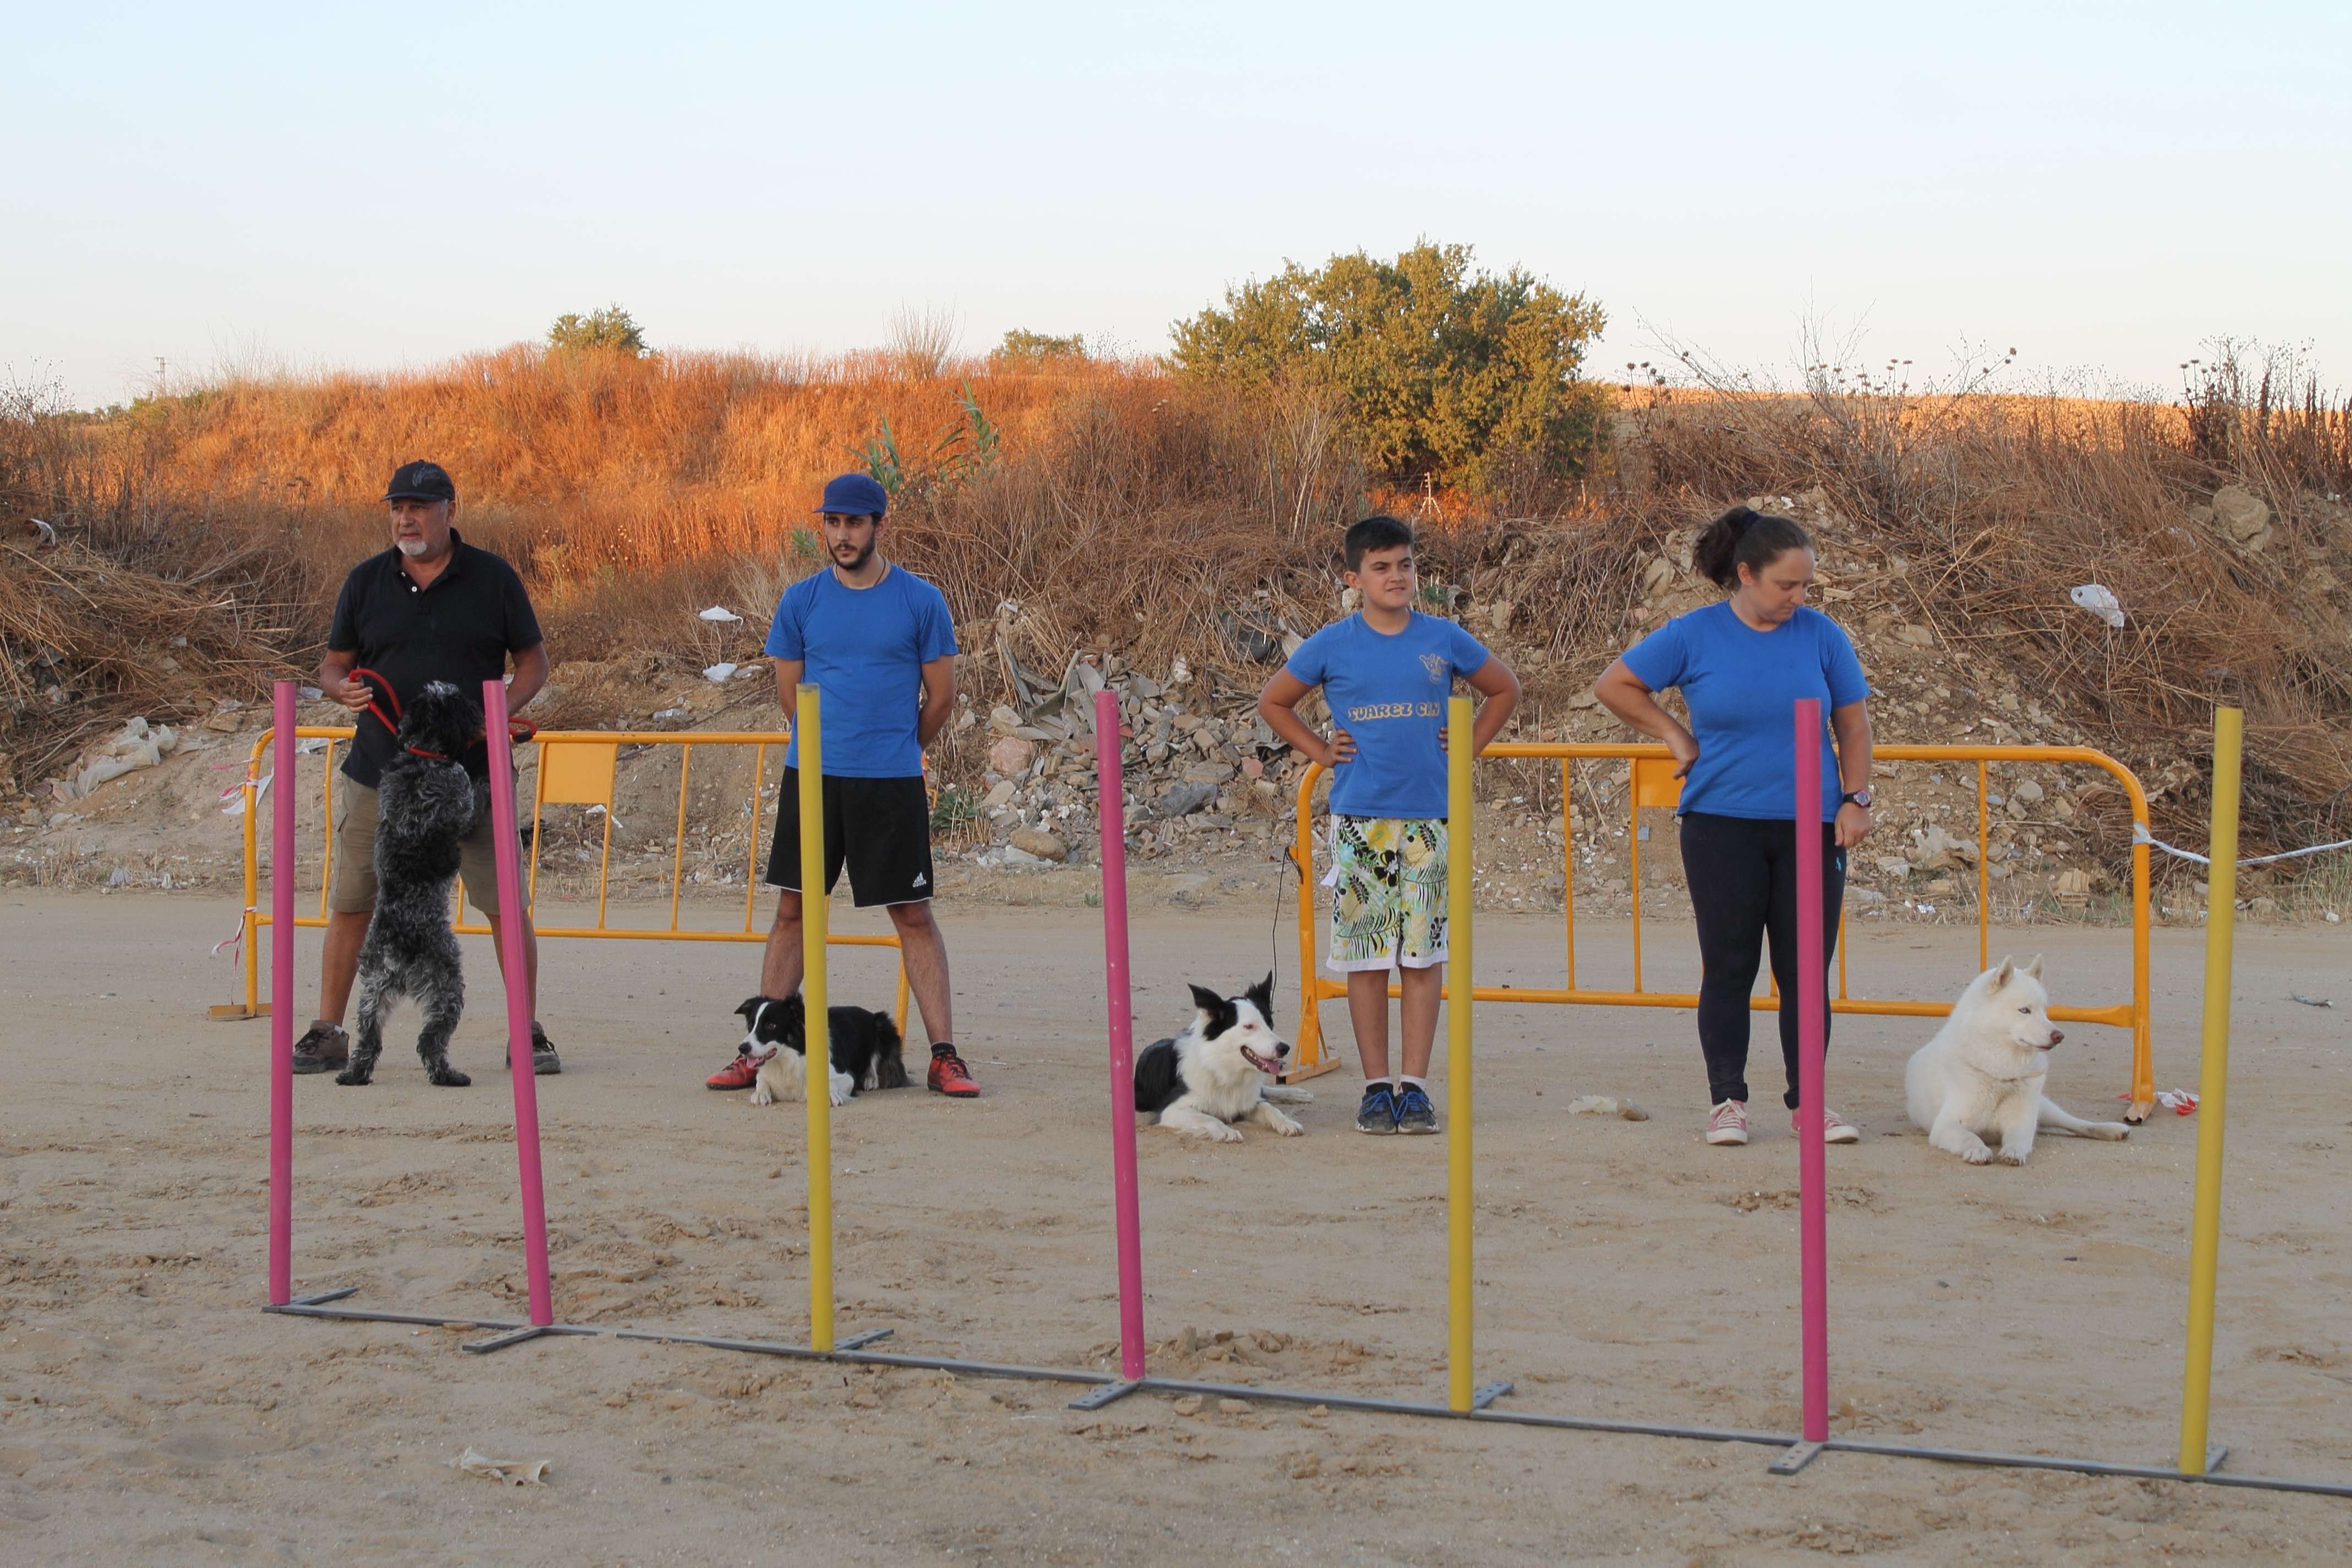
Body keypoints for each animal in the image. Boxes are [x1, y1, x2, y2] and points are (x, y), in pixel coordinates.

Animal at [336, 686, 487, 1091]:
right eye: (461, 702)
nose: (479, 712)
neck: (424, 757)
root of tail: (396, 951)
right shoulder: (462, 798)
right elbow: (475, 799)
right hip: (446, 987)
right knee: (430, 1042)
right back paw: (449, 1075)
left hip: (371, 996)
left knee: (368, 1041)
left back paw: (354, 1074)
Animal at [1900, 959, 2145, 1166]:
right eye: (2024, 1010)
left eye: (2045, 1011)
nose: (2059, 1036)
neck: (2002, 1072)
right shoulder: (1946, 1126)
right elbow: (1970, 1138)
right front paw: (1978, 1150)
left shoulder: (2022, 1122)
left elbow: (2019, 1139)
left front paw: (2013, 1152)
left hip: (2044, 1108)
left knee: (2074, 1123)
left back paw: (2111, 1130)